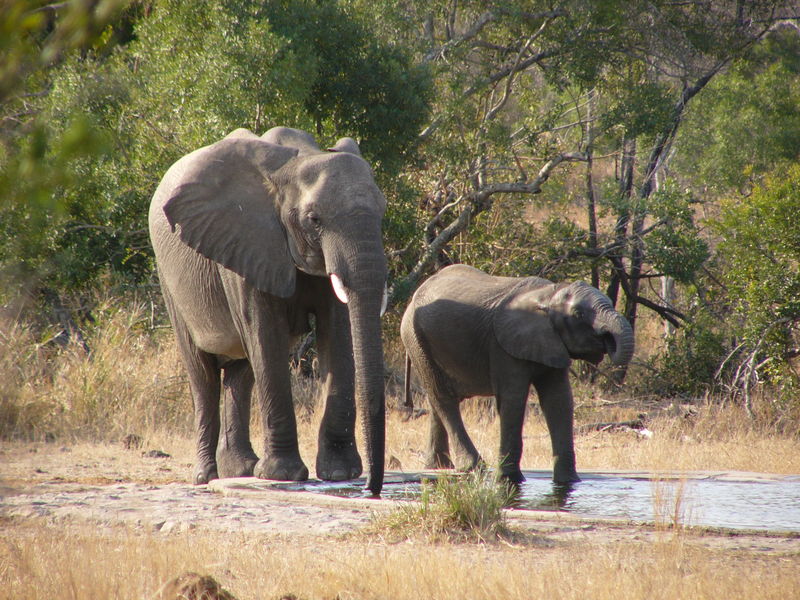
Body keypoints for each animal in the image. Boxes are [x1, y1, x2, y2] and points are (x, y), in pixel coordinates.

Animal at [152, 127, 390, 496]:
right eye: (314, 220)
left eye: (382, 212)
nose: (371, 489)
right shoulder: (244, 240)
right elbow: (266, 336)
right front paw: (282, 475)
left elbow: (338, 333)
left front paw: (339, 473)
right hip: (170, 282)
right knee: (203, 375)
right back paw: (207, 477)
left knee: (241, 372)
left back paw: (240, 469)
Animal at [404, 264, 636, 486]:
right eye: (578, 314)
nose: (607, 340)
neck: (548, 295)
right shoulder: (502, 346)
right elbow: (513, 399)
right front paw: (509, 480)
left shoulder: (552, 342)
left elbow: (559, 401)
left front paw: (569, 482)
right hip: (416, 339)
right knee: (444, 399)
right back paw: (473, 467)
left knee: (436, 401)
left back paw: (438, 468)